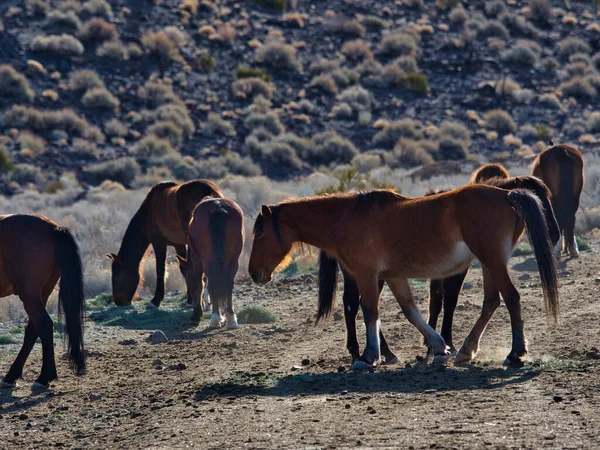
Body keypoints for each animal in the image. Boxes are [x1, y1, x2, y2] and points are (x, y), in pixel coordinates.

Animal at [0, 214, 86, 386]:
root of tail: (52, 228)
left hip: (29, 295)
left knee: (43, 325)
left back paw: (44, 377)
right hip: (42, 294)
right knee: (33, 329)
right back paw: (13, 375)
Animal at [106, 178, 223, 306]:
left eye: (117, 276)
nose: (118, 301)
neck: (149, 211)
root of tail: (210, 192)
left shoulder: (159, 243)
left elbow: (160, 270)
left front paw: (155, 300)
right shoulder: (179, 245)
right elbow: (184, 268)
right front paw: (190, 298)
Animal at [176, 199, 244, 328]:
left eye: (188, 279)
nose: (190, 301)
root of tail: (218, 206)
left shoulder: (196, 261)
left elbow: (200, 284)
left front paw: (197, 314)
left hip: (207, 260)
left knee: (212, 281)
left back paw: (215, 318)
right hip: (233, 260)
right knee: (228, 283)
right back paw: (231, 318)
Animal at [248, 185, 556, 370]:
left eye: (260, 233)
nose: (253, 272)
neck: (348, 219)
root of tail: (507, 195)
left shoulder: (367, 274)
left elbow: (370, 310)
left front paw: (369, 356)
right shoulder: (394, 277)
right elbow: (411, 312)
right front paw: (438, 345)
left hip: (492, 261)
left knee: (511, 298)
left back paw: (515, 353)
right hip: (489, 263)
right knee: (492, 302)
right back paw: (466, 350)